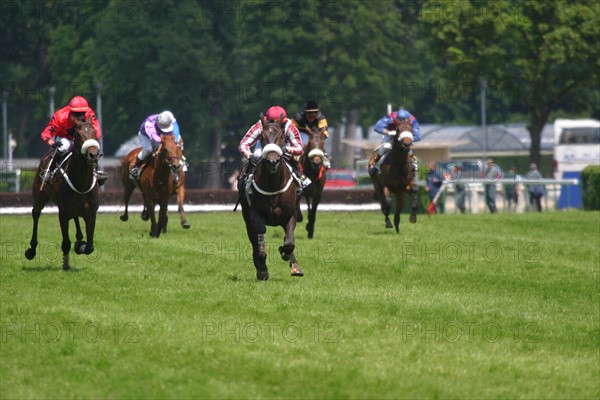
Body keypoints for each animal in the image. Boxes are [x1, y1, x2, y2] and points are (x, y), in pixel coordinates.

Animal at [24, 117, 102, 270]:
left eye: (95, 132)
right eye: (78, 135)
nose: (93, 155)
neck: (81, 183)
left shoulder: (91, 214)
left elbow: (90, 247)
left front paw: (81, 245)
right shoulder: (63, 213)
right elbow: (66, 243)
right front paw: (66, 263)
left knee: (76, 217)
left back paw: (79, 239)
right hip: (40, 195)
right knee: (35, 213)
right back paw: (31, 249)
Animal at [240, 112, 304, 282]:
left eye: (282, 136)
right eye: (262, 136)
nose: (272, 161)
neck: (273, 185)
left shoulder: (290, 215)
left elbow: (289, 243)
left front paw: (287, 255)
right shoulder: (256, 216)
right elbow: (260, 246)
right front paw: (262, 270)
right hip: (247, 218)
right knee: (254, 242)